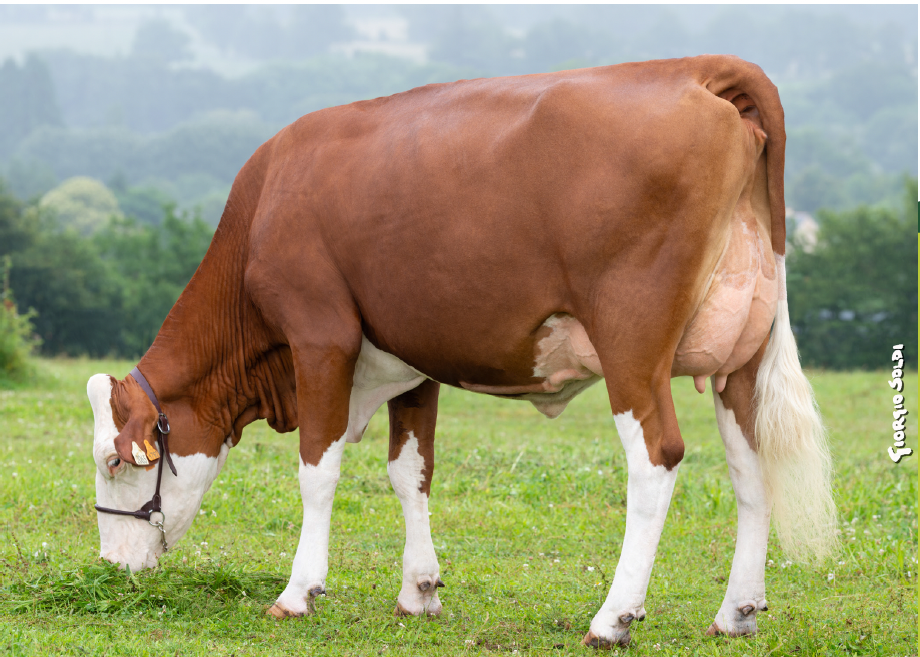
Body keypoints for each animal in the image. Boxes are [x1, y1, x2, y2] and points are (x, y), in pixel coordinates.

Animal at [87, 55, 836, 647]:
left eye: (114, 460)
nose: (110, 567)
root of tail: (697, 67)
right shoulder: (410, 356)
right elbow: (409, 472)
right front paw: (418, 590)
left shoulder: (321, 337)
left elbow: (317, 470)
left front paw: (298, 592)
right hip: (739, 360)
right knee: (750, 466)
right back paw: (736, 612)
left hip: (632, 343)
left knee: (656, 460)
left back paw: (612, 617)